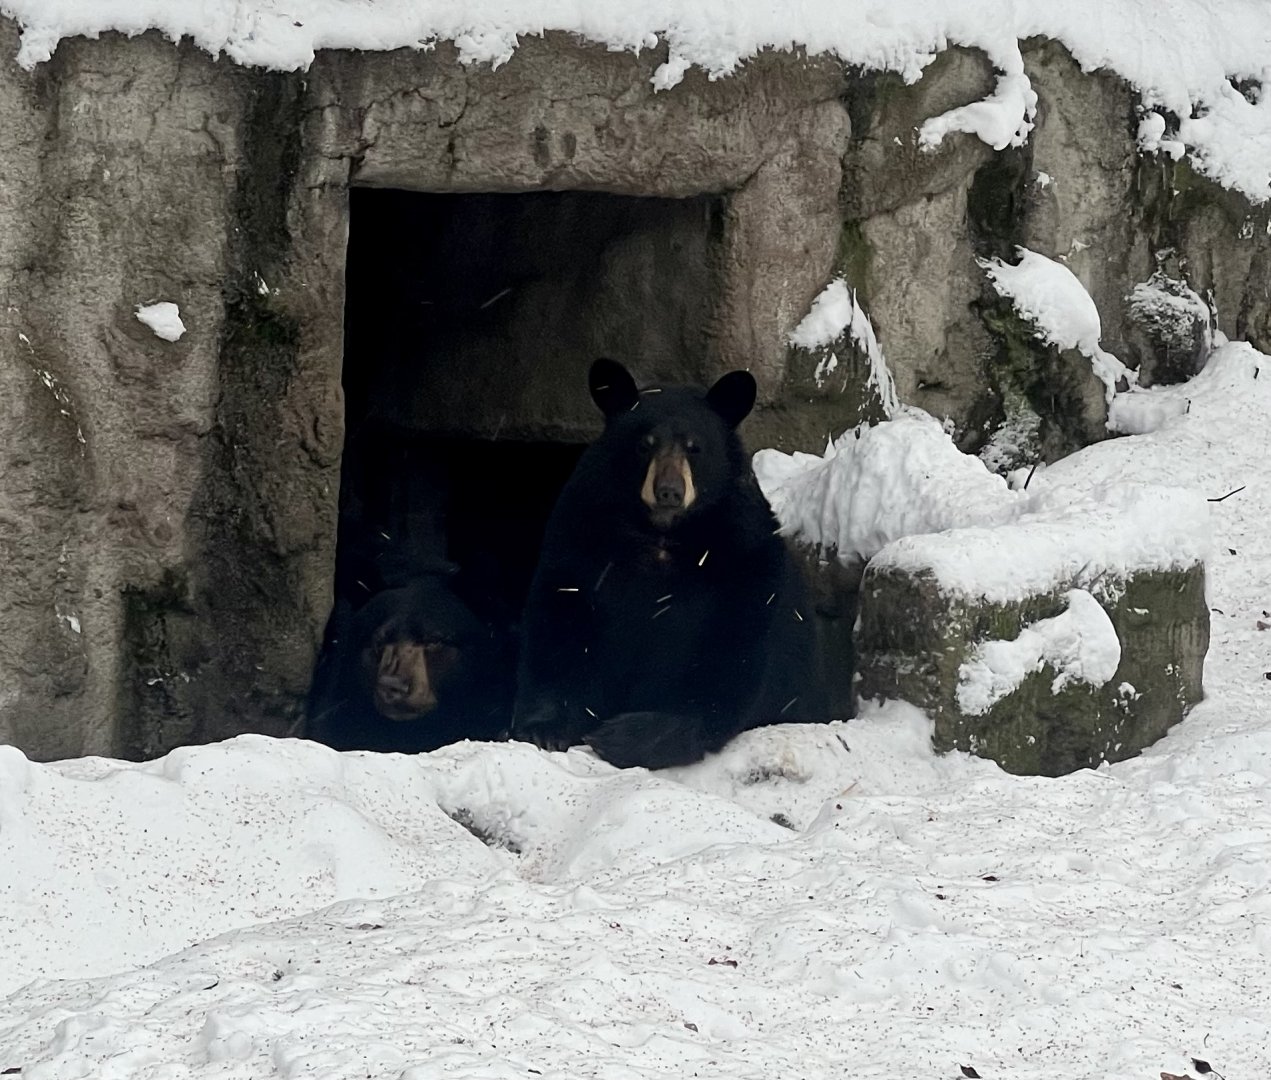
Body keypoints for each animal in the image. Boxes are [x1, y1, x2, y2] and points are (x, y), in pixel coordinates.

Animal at [510, 357, 826, 769]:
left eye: (695, 447)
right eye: (645, 444)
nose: (669, 491)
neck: (661, 535)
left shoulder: (743, 561)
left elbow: (728, 658)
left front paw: (625, 735)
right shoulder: (581, 538)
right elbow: (560, 624)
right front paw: (543, 728)